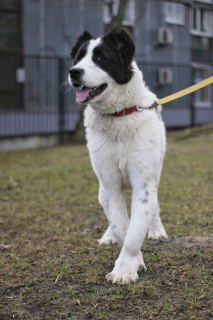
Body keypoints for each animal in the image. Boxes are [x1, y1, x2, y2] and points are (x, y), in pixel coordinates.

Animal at [69, 28, 167, 284]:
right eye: (78, 59)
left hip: (156, 171)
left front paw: (125, 270)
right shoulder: (110, 184)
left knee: (155, 207)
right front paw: (133, 262)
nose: (74, 72)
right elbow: (122, 227)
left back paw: (156, 230)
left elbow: (136, 230)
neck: (119, 116)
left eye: (100, 58)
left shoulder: (144, 183)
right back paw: (108, 236)